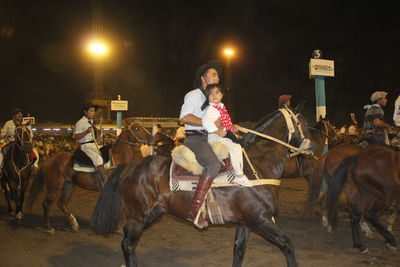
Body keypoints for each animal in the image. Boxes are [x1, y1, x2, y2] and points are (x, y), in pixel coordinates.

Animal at [90, 109, 312, 267]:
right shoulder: (260, 220)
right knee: (128, 244)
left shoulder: (246, 223)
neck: (255, 167)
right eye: (304, 123)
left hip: (153, 212)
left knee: (127, 242)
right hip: (138, 215)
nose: (313, 147)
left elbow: (238, 252)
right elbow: (287, 245)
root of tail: (129, 166)